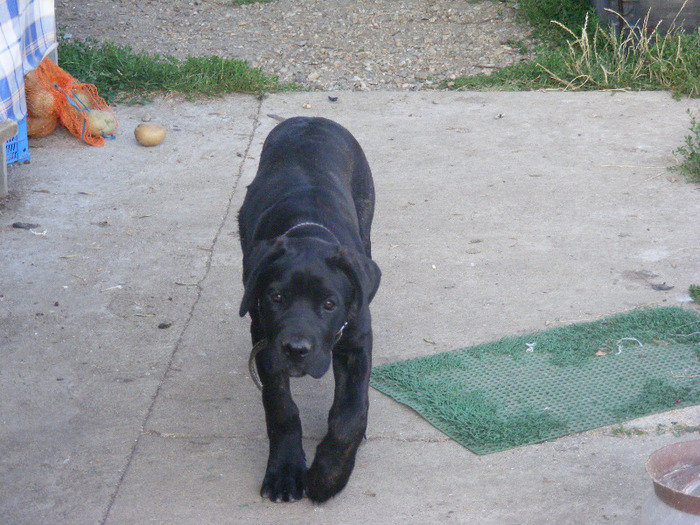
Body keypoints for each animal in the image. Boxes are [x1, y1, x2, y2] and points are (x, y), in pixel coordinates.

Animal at [241, 116, 382, 502]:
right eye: (276, 298)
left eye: (329, 304)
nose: (296, 350)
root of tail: (312, 119)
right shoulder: (265, 344)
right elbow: (281, 408)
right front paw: (286, 472)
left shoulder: (357, 341)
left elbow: (350, 413)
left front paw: (327, 476)